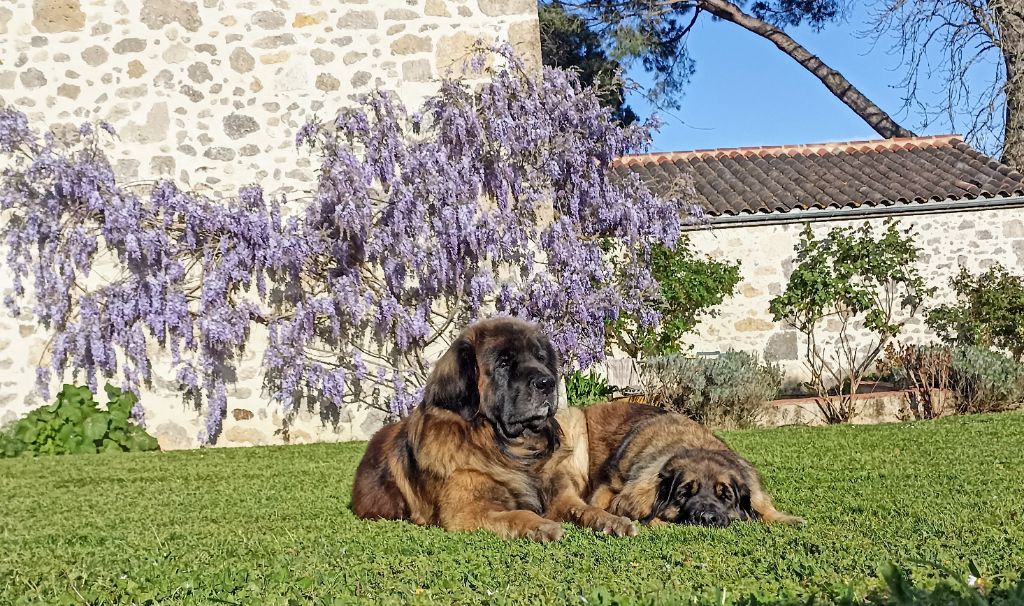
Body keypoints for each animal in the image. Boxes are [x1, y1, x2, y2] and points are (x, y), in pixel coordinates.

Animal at [356, 319, 634, 540]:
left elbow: (585, 508)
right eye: (503, 363)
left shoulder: (560, 495)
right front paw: (542, 526)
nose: (547, 383)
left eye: (541, 358)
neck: (513, 450)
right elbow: (518, 513)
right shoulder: (468, 511)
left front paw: (612, 520)